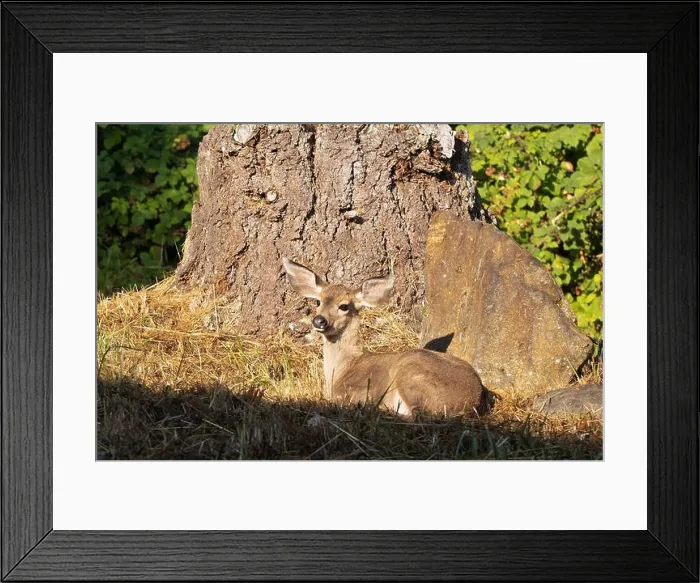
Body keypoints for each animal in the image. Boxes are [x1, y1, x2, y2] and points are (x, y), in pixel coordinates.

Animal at [282, 257, 488, 419]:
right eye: (318, 301)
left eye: (344, 306)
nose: (319, 320)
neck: (343, 368)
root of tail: (473, 398)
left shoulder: (358, 390)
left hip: (409, 373)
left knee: (418, 416)